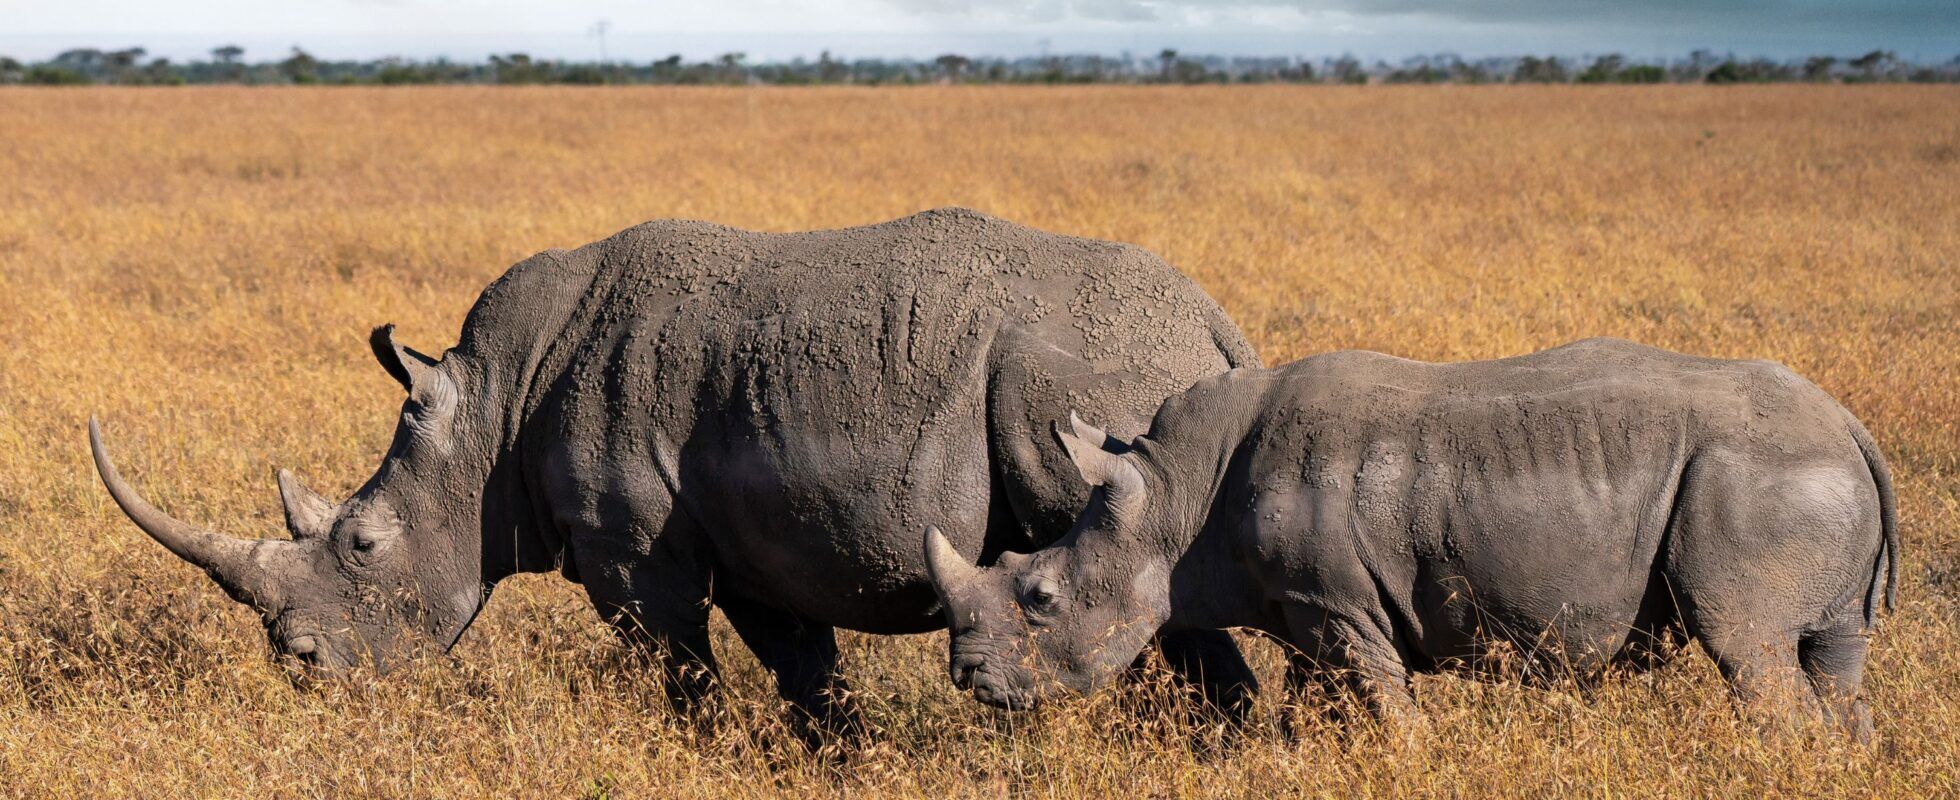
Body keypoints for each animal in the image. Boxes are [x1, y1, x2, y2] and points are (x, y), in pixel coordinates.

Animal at [88, 208, 1266, 738]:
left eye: (364, 544)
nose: (301, 669)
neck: (490, 410)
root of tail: (1213, 323)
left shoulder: (634, 556)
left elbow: (680, 671)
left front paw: (706, 746)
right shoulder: (763, 544)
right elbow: (806, 674)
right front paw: (835, 759)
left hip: (1084, 375)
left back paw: (1224, 748)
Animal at [924, 337, 1898, 742]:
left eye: (1042, 599)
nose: (968, 680)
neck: (1172, 499)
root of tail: (1850, 425)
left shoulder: (1339, 604)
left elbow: (1387, 710)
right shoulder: (1309, 608)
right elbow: (1312, 708)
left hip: (1757, 482)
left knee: (1748, 649)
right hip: (1802, 480)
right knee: (1832, 658)